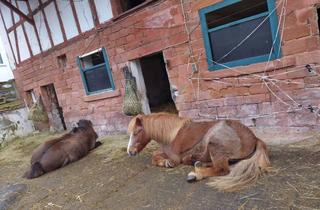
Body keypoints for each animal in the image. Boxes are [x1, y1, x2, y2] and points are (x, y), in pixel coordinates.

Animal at [126, 113, 272, 192]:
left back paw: (195, 174)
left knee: (222, 169)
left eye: (136, 132)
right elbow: (154, 155)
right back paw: (198, 164)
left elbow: (157, 157)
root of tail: (254, 138)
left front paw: (167, 163)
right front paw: (165, 161)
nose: (130, 152)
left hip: (214, 142)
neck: (173, 134)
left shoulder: (175, 156)